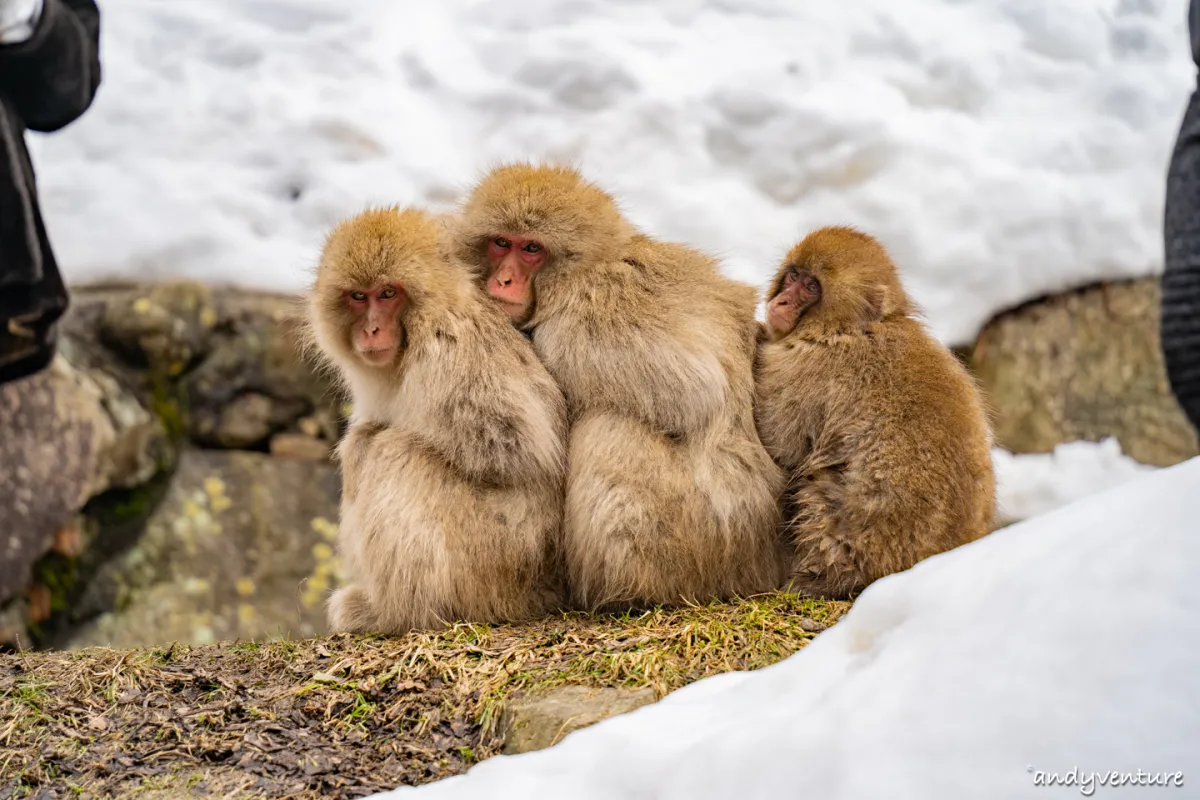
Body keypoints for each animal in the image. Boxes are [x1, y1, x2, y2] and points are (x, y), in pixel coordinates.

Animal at [309, 209, 571, 633]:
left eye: (388, 294)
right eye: (359, 296)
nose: (371, 329)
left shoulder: (448, 345)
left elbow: (513, 446)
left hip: (494, 564)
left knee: (389, 452)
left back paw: (394, 613)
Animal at [451, 163, 787, 609]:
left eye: (531, 249)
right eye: (501, 243)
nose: (504, 280)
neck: (583, 272)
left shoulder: (582, 319)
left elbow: (697, 385)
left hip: (714, 535)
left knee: (611, 423)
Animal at [753, 225, 998, 599]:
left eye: (811, 287)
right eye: (793, 275)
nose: (780, 302)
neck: (851, 329)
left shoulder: (803, 370)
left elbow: (781, 445)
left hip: (859, 545)